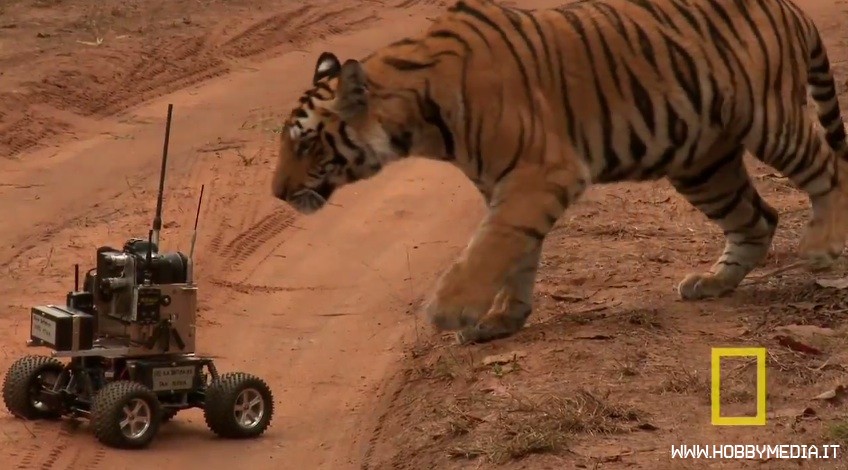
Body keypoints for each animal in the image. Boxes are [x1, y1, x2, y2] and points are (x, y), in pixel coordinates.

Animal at [270, 0, 848, 344]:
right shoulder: (507, 185)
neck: (418, 118)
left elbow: (490, 247)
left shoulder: (540, 174)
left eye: (305, 141)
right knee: (757, 219)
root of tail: (790, 7)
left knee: (831, 168)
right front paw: (501, 319)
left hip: (769, 120)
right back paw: (711, 282)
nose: (277, 193)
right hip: (703, 162)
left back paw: (822, 246)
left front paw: (450, 310)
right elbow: (514, 251)